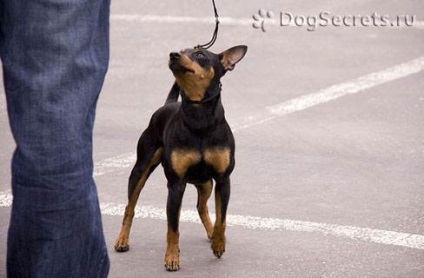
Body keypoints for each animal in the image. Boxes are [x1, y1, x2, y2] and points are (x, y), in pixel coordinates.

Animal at [114, 45, 247, 272]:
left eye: (201, 54)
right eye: (183, 50)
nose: (173, 55)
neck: (199, 117)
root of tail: (168, 104)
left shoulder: (223, 180)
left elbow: (222, 218)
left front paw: (219, 244)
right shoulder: (176, 184)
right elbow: (173, 227)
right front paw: (172, 258)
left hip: (205, 183)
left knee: (202, 206)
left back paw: (211, 234)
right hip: (141, 168)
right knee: (130, 206)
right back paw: (122, 240)